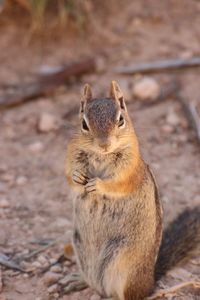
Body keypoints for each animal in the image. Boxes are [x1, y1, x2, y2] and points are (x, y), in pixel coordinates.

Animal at [64, 81, 200, 300]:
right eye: (84, 124)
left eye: (120, 120)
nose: (104, 144)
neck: (102, 156)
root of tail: (150, 279)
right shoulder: (70, 155)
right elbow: (69, 176)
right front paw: (78, 177)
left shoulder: (130, 169)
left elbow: (118, 183)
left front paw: (98, 185)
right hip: (82, 255)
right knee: (95, 285)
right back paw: (76, 281)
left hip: (124, 268)